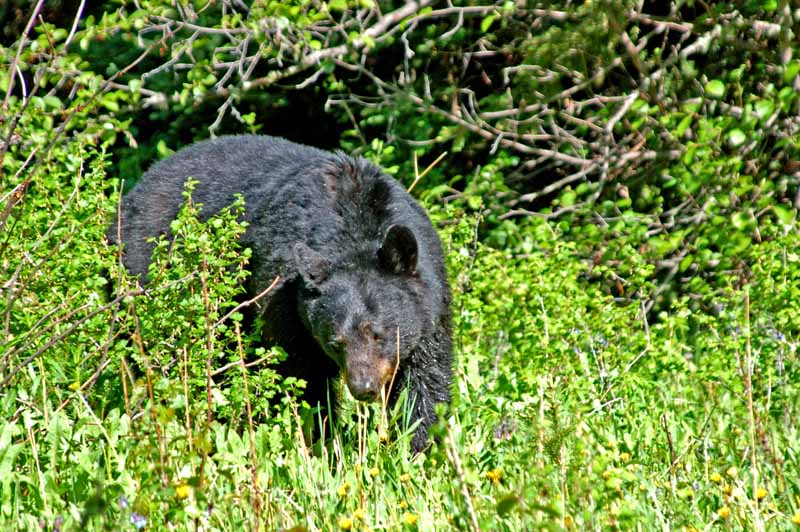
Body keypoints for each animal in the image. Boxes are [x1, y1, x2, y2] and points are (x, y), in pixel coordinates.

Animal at [109, 135, 454, 450]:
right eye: (335, 343)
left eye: (378, 334)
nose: (363, 387)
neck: (353, 224)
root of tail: (141, 182)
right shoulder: (283, 301)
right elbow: (300, 378)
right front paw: (321, 444)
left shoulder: (431, 302)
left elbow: (425, 377)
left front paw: (418, 446)